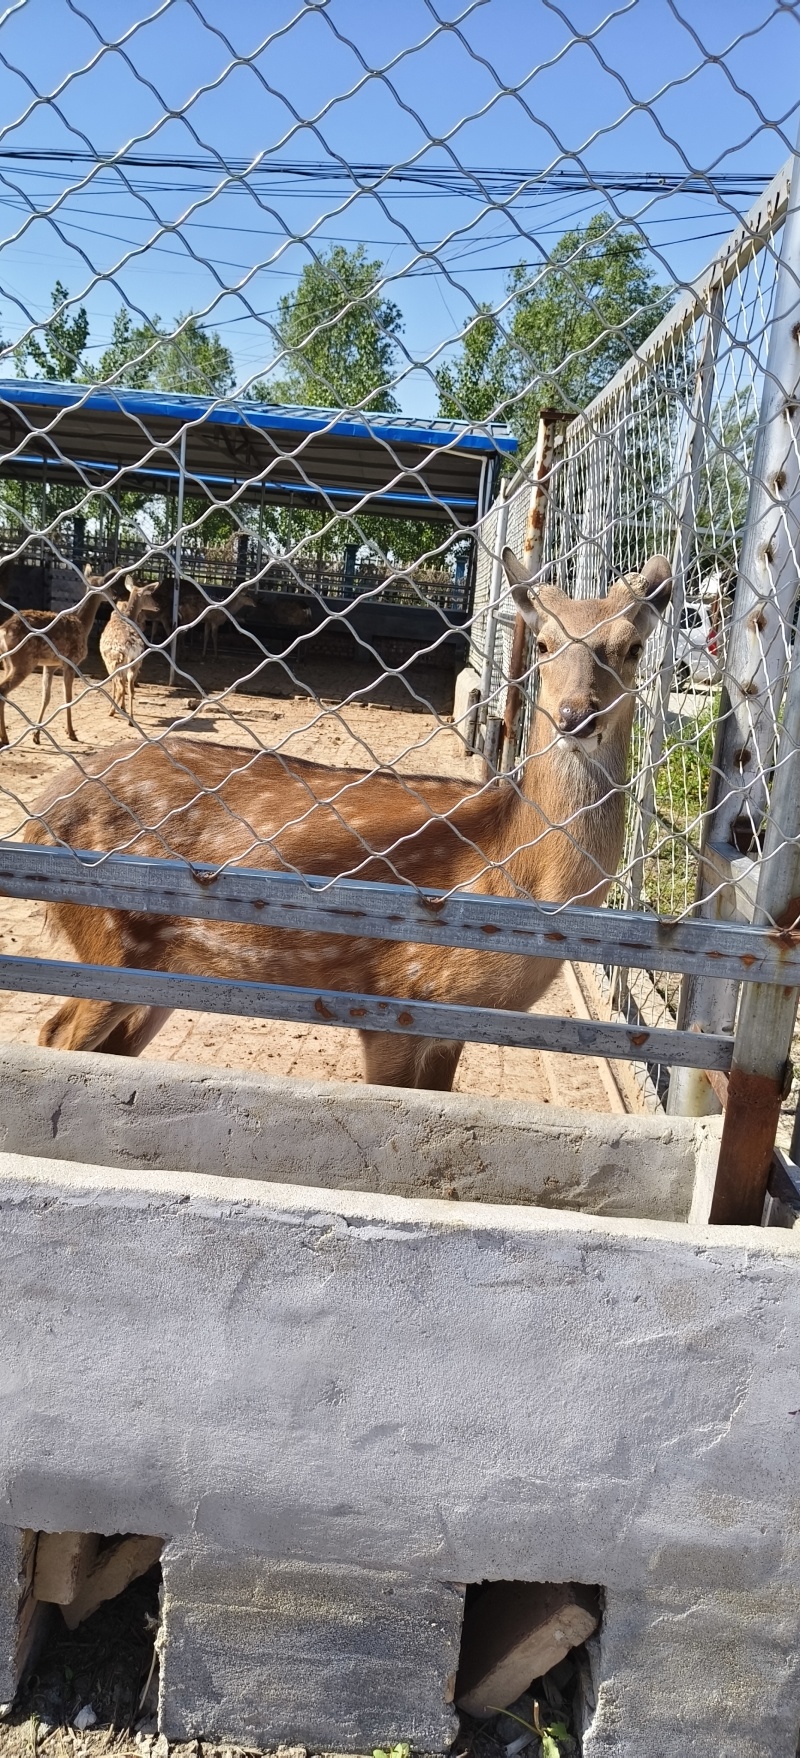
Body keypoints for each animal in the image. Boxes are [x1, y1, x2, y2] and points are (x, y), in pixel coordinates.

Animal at [0, 565, 117, 748]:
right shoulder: (71, 662)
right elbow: (67, 697)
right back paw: (4, 738)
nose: (115, 596)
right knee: (3, 690)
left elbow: (46, 697)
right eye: (109, 586)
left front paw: (36, 735)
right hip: (23, 661)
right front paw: (71, 733)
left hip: (8, 663)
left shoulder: (50, 665)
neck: (83, 624)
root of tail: (4, 630)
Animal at [99, 576, 160, 724]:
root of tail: (130, 647)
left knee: (120, 687)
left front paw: (117, 708)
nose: (158, 606)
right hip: (136, 663)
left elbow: (114, 685)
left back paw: (112, 711)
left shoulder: (107, 661)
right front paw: (123, 708)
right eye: (149, 595)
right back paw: (130, 719)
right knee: (131, 688)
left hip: (114, 662)